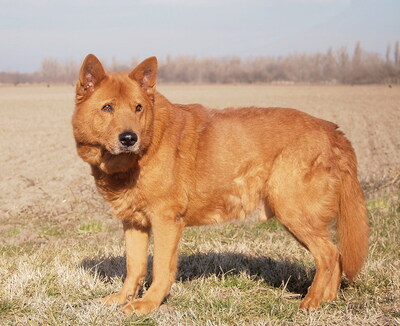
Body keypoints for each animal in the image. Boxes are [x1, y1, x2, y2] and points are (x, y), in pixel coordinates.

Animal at [71, 54, 368, 314]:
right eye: (107, 107)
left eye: (138, 108)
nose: (129, 138)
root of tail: (332, 130)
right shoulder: (134, 222)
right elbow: (135, 266)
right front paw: (123, 298)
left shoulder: (166, 221)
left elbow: (161, 269)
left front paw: (148, 304)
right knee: (335, 257)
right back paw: (327, 299)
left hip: (294, 212)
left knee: (329, 255)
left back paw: (312, 301)